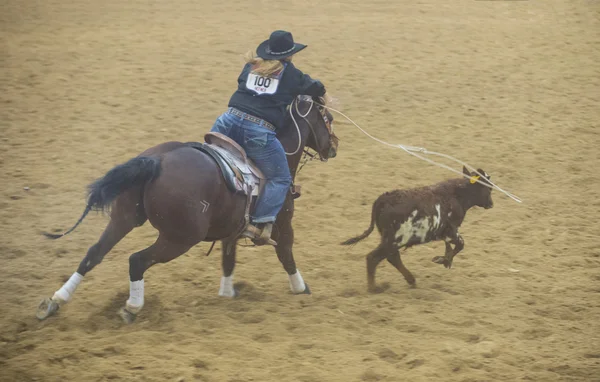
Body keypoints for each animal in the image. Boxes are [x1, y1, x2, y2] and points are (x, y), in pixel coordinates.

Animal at [37, 95, 338, 322]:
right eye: (328, 118)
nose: (333, 146)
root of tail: (157, 161)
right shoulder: (283, 223)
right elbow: (286, 253)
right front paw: (301, 289)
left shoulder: (231, 232)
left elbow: (228, 260)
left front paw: (227, 293)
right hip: (180, 238)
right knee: (137, 260)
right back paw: (131, 307)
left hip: (125, 217)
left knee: (94, 253)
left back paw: (55, 301)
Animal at [340, 166, 494, 290]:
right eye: (488, 188)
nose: (491, 204)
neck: (456, 195)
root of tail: (383, 200)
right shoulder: (451, 231)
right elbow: (460, 244)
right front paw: (443, 260)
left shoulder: (445, 233)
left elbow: (450, 247)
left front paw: (445, 260)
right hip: (393, 240)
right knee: (374, 257)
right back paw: (374, 288)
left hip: (391, 240)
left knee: (392, 257)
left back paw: (410, 280)